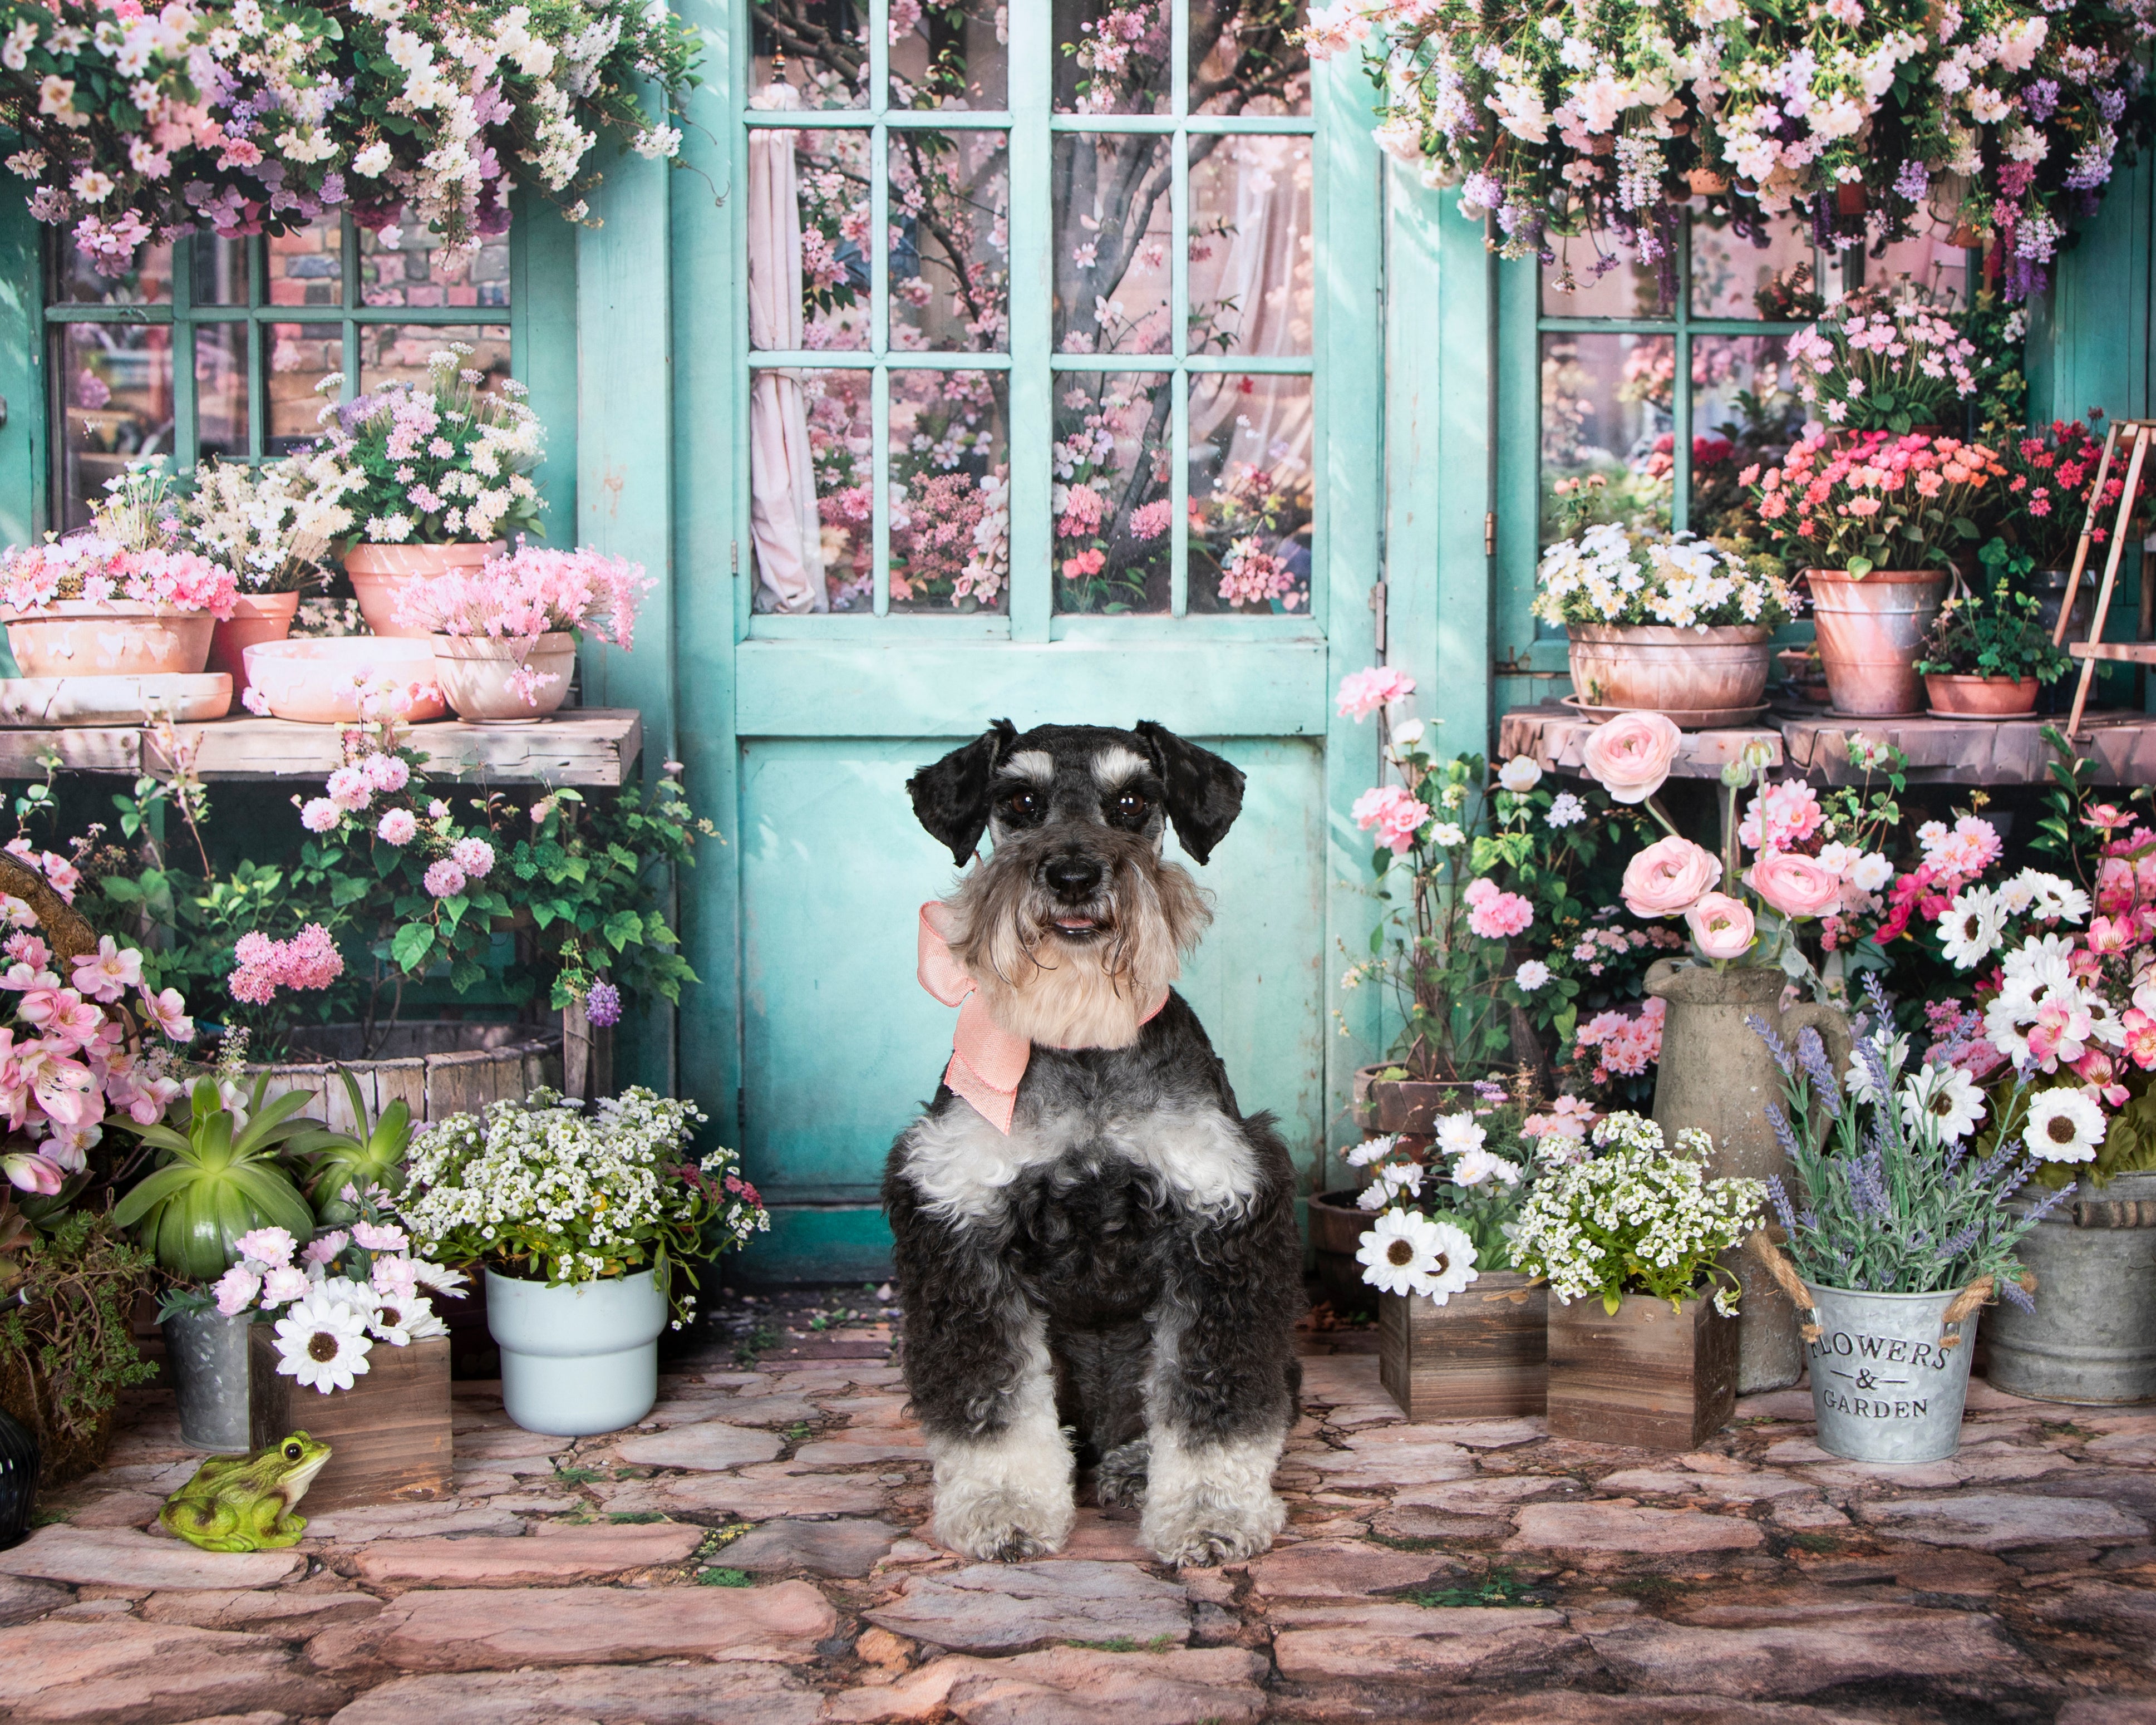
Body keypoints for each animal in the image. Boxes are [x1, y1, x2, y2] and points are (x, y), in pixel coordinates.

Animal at [884, 720, 1302, 1570]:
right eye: (1019, 800)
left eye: (1134, 801)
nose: (1073, 877)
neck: (1083, 1043)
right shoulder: (960, 1220)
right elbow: (993, 1400)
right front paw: (1002, 1508)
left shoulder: (1222, 1220)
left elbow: (1214, 1402)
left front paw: (1210, 1515)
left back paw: (1135, 1468)